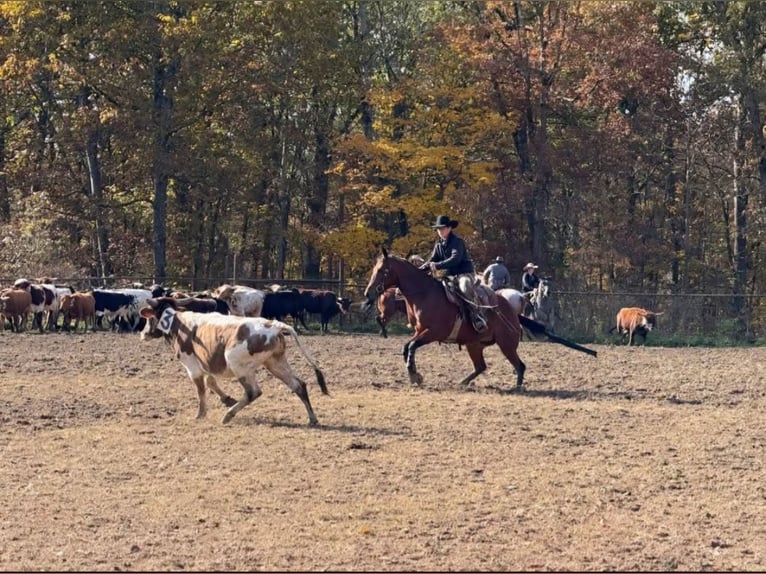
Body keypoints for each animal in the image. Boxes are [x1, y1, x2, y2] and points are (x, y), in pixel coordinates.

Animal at [364, 248, 527, 389]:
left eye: (381, 270)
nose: (368, 293)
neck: (424, 293)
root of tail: (510, 308)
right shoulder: (419, 330)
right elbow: (407, 347)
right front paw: (415, 374)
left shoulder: (434, 332)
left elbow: (412, 346)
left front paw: (414, 375)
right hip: (474, 345)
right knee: (481, 366)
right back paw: (462, 382)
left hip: (506, 344)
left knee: (520, 366)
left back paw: (517, 387)